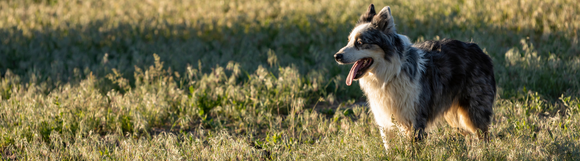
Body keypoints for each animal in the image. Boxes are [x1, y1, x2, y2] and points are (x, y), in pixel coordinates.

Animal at [334, 4, 496, 151]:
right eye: (349, 41)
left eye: (360, 43)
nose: (337, 56)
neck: (390, 75)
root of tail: (479, 50)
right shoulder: (385, 122)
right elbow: (389, 150)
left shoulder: (414, 120)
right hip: (455, 116)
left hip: (473, 112)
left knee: (483, 135)